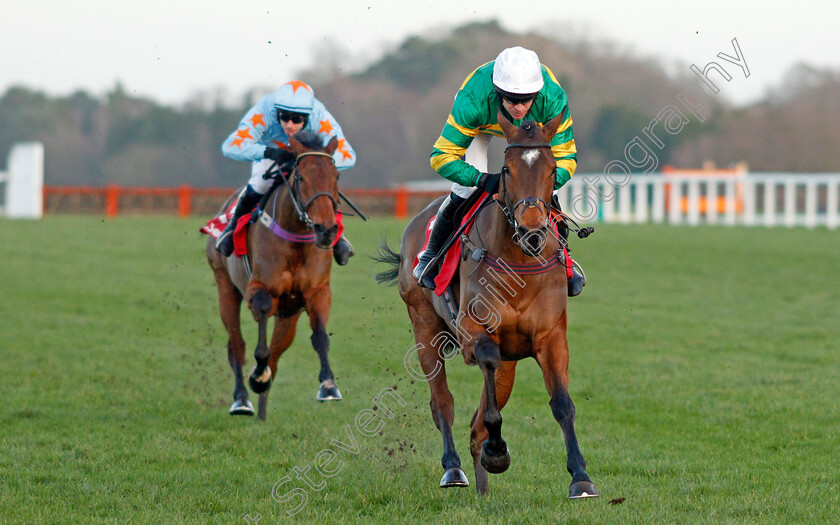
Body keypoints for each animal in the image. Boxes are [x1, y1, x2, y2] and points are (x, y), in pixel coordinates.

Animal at [206, 132, 342, 422]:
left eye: (336, 176)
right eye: (301, 177)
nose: (325, 230)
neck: (296, 240)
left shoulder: (317, 292)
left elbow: (320, 337)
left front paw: (328, 385)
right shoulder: (258, 289)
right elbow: (259, 340)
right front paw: (257, 377)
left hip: (289, 316)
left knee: (277, 354)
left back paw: (262, 407)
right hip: (225, 287)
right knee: (237, 345)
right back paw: (243, 399)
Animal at [374, 109, 596, 496]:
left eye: (553, 169)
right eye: (506, 170)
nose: (532, 232)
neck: (519, 263)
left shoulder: (551, 337)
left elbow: (562, 403)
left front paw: (580, 477)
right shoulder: (472, 332)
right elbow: (485, 382)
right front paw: (497, 451)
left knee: (477, 420)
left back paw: (482, 488)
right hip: (423, 325)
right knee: (442, 403)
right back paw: (454, 469)